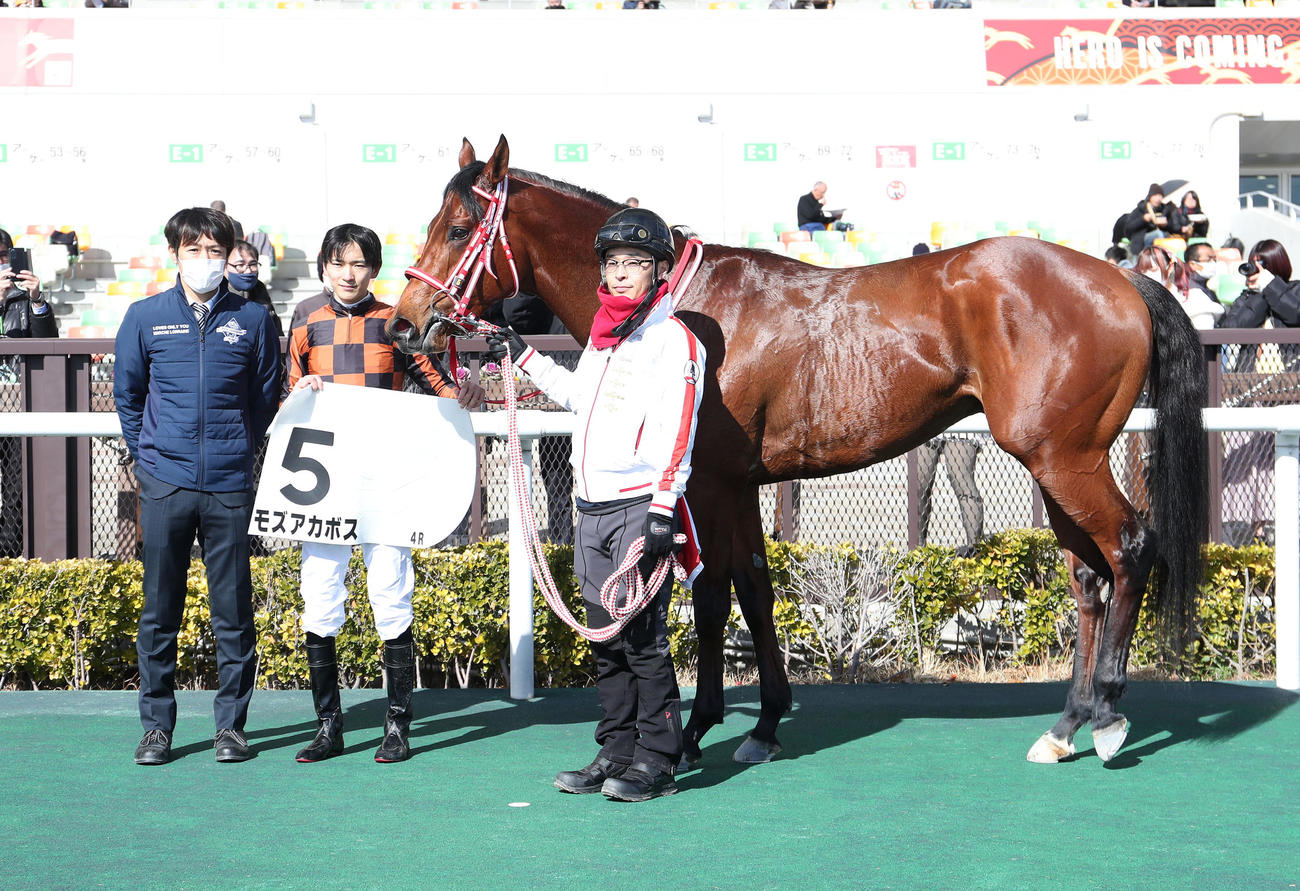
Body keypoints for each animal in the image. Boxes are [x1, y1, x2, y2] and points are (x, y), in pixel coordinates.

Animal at [388, 135, 1208, 766]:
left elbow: (714, 595)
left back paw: (1108, 713)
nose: (403, 324)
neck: (681, 303)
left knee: (1130, 547)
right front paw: (764, 723)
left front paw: (696, 730)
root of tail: (1121, 278)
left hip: (1065, 459)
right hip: (1056, 461)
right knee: (1087, 577)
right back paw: (1065, 725)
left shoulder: (707, 482)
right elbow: (753, 585)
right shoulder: (742, 482)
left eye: (458, 228)